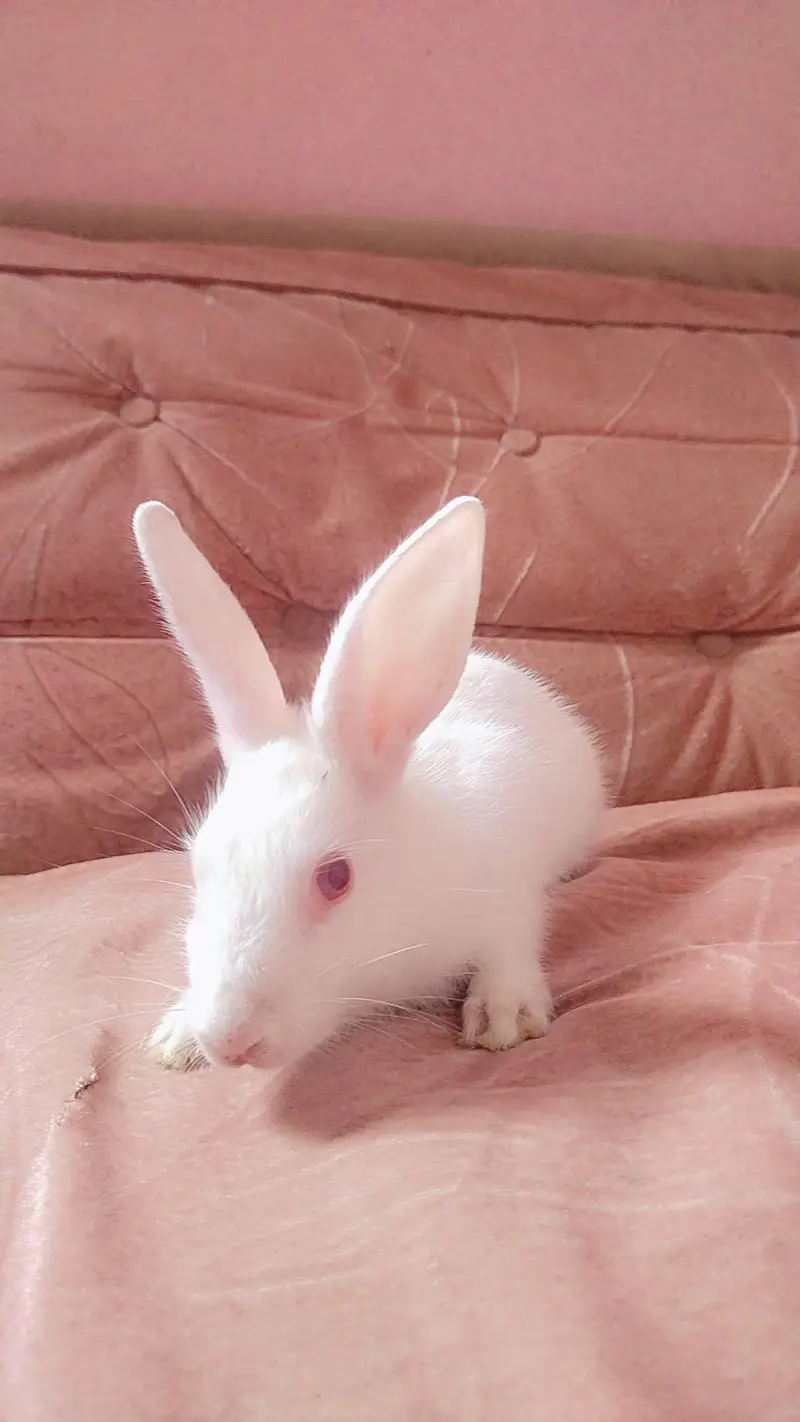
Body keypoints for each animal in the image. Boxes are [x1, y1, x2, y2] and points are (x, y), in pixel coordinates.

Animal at [132, 496, 605, 1073]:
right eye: (200, 866)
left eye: (337, 878)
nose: (230, 1041)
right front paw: (177, 1034)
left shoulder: (509, 892)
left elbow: (510, 943)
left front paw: (503, 1015)